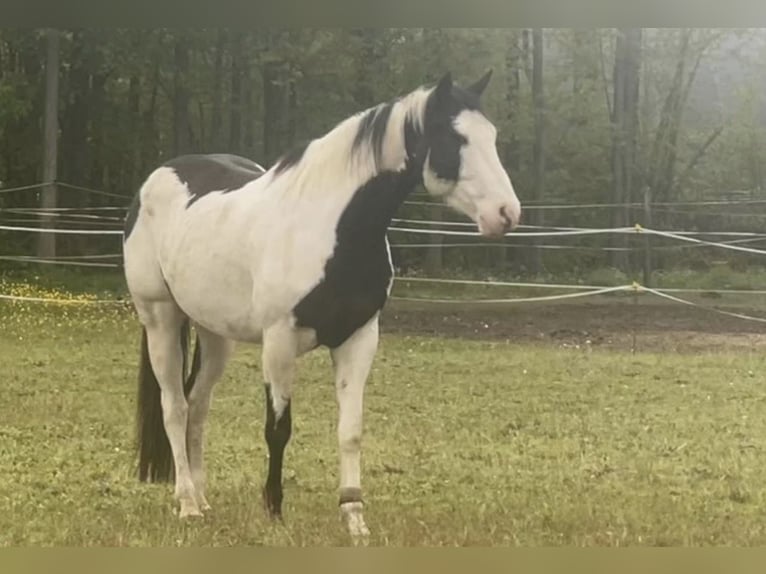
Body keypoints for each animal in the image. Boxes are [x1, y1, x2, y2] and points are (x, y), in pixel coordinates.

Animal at [122, 70, 521, 540]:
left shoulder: (358, 338)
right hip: (160, 319)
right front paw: (273, 510)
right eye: (454, 138)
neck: (332, 227)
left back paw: (202, 499)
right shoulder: (279, 342)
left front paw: (354, 517)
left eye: (491, 135)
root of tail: (154, 181)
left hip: (216, 334)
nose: (506, 213)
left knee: (198, 405)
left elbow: (350, 430)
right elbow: (278, 429)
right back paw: (187, 503)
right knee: (175, 407)